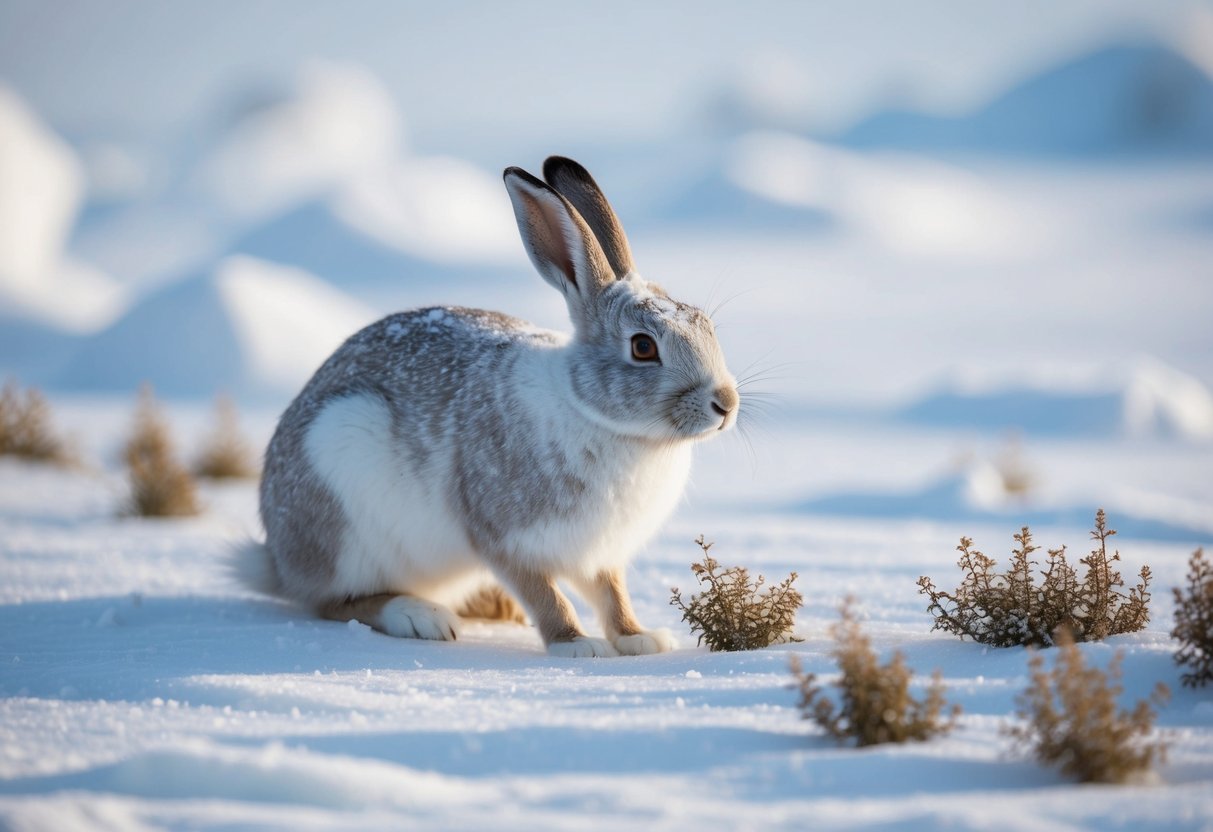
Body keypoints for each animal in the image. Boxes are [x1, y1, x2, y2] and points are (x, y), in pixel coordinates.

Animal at [241, 156, 739, 657]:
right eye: (642, 347)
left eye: (706, 325)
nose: (726, 404)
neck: (597, 415)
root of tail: (279, 558)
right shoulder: (505, 538)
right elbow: (546, 595)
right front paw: (576, 645)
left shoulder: (601, 555)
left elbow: (612, 596)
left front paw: (641, 640)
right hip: (348, 508)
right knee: (336, 601)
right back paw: (421, 617)